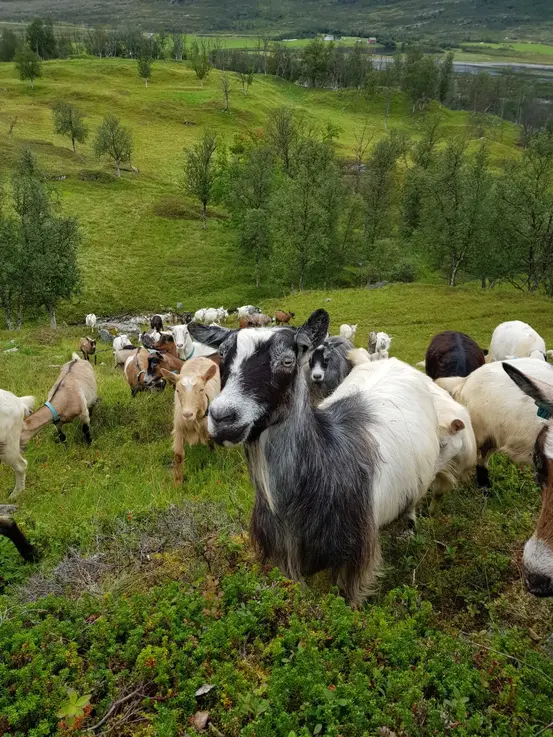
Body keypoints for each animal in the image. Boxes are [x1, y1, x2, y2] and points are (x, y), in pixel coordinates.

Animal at [160, 356, 220, 484]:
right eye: (177, 390)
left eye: (201, 390)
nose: (187, 414)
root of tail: (201, 357)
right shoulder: (179, 429)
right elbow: (178, 456)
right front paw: (177, 483)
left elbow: (212, 443)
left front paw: (215, 457)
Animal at [189, 310, 444, 604]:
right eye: (222, 356)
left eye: (288, 361)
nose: (222, 417)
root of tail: (392, 363)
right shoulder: (284, 562)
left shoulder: (354, 562)